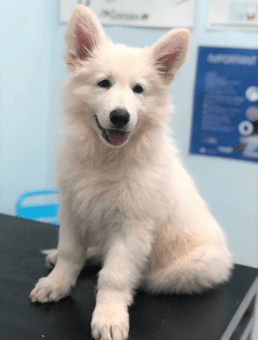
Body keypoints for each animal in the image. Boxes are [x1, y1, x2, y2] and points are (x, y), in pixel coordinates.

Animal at [29, 5, 233, 340]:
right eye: (103, 83)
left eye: (139, 89)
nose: (120, 116)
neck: (107, 158)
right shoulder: (72, 208)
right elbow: (71, 251)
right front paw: (57, 283)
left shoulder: (132, 227)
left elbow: (114, 276)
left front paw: (110, 316)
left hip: (192, 267)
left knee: (141, 275)